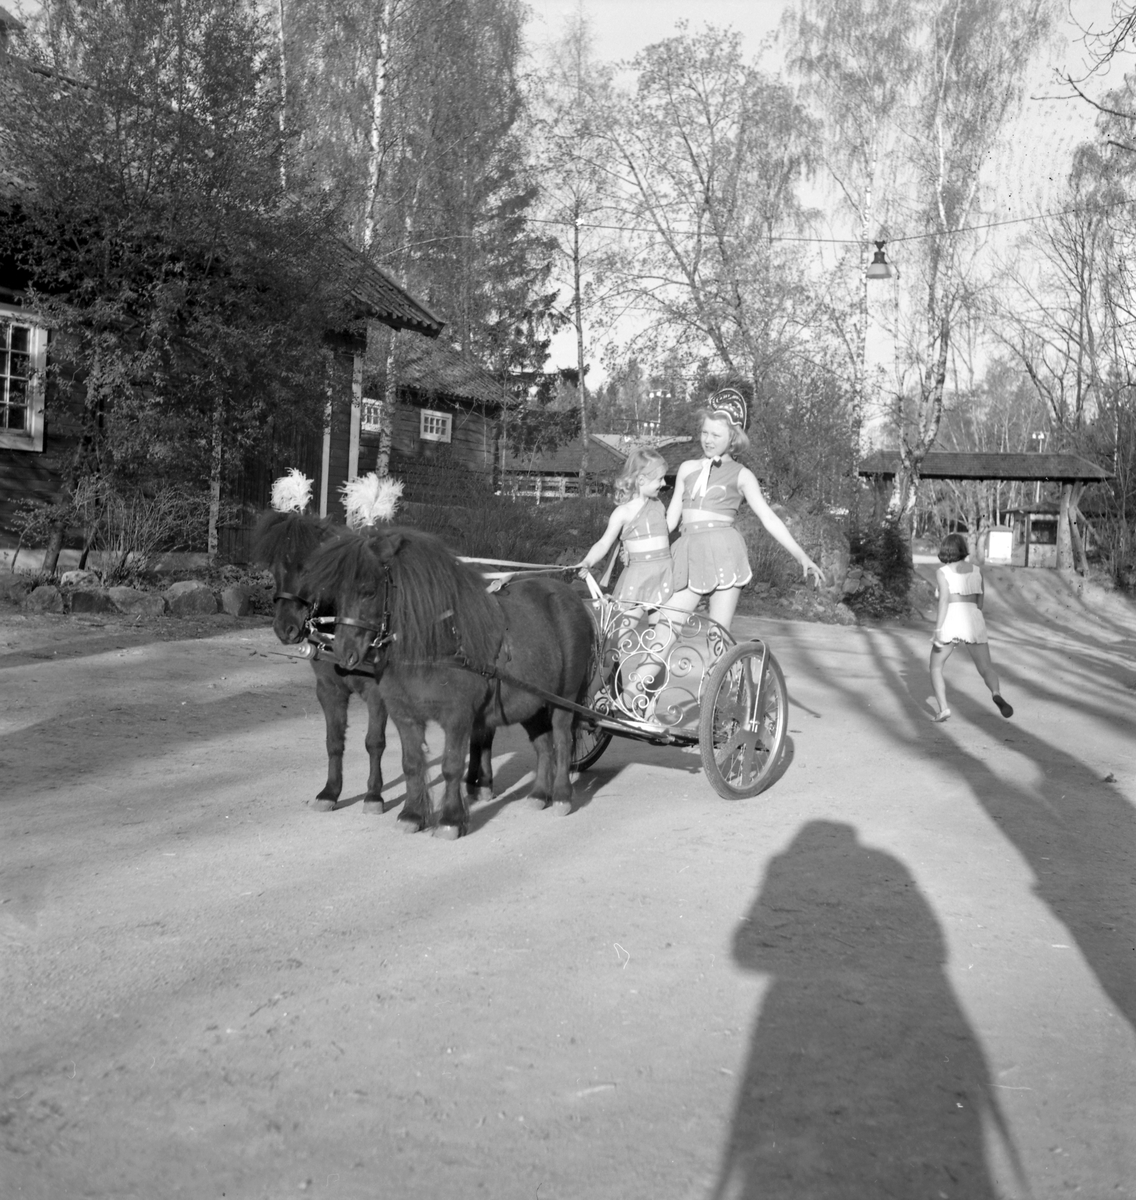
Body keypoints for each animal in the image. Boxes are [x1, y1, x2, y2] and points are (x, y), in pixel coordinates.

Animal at [250, 506, 388, 816]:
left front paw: (374, 795)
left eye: (310, 568)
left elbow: (374, 742)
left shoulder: (377, 692)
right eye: (274, 567)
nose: (285, 628)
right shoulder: (328, 689)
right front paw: (330, 792)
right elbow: (334, 741)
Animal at [302, 520, 599, 840]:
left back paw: (561, 796)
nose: (343, 653)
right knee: (544, 744)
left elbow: (451, 766)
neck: (436, 644)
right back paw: (539, 795)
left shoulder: (458, 716)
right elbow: (411, 764)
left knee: (563, 739)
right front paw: (412, 814)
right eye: (336, 593)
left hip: (565, 699)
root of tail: (572, 597)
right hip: (531, 701)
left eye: (368, 591)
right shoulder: (403, 715)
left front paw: (450, 820)